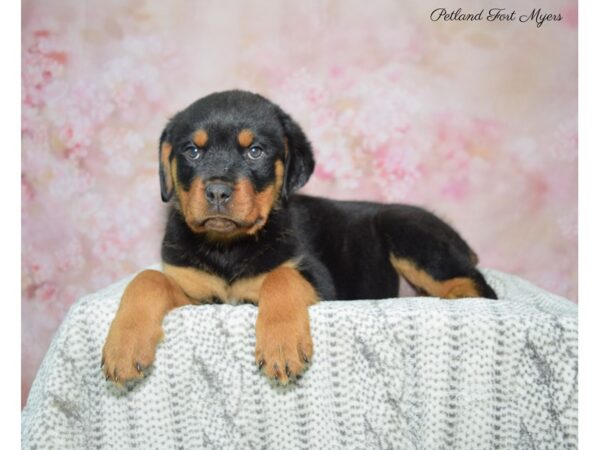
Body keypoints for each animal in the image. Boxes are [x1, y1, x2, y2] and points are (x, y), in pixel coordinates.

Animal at [103, 89, 496, 384]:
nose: (217, 191)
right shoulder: (195, 293)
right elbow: (147, 278)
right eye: (192, 151)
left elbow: (281, 276)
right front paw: (123, 347)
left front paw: (281, 347)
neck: (228, 247)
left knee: (478, 286)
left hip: (405, 229)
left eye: (255, 151)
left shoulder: (320, 280)